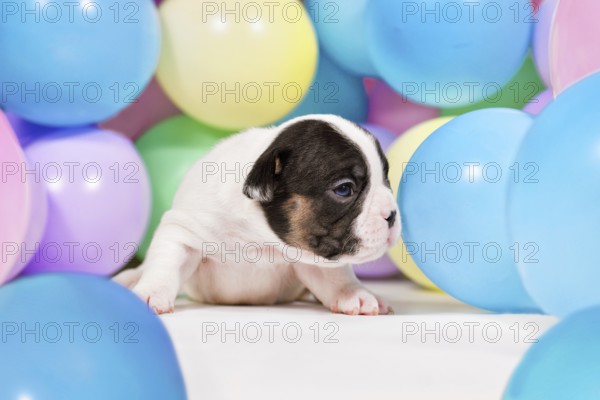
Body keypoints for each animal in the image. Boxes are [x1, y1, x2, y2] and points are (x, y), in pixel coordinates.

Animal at [115, 113, 400, 316]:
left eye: (386, 180)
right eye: (344, 189)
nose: (392, 214)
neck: (259, 237)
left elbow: (335, 276)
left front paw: (354, 294)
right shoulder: (182, 231)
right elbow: (166, 264)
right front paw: (151, 292)